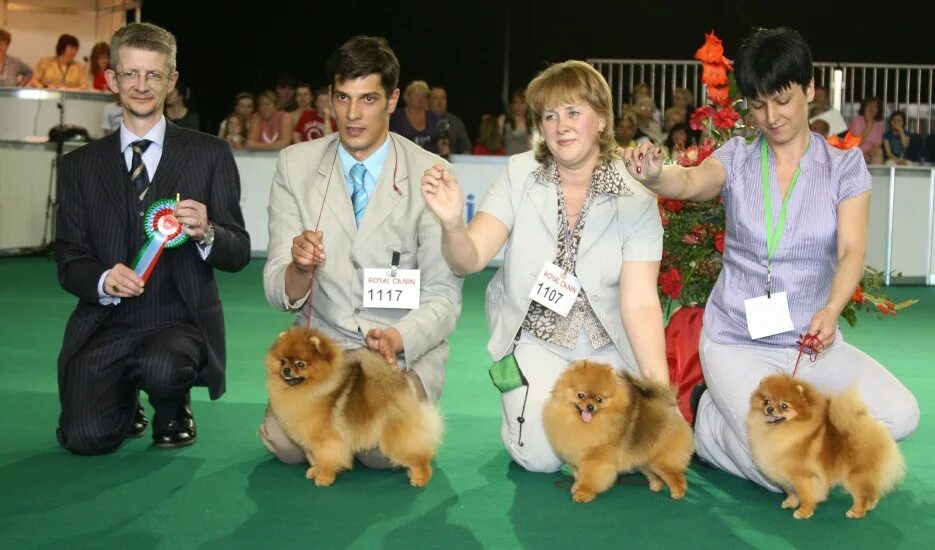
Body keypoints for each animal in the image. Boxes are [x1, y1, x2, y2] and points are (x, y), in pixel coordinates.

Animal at [262, 328, 440, 488]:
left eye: (301, 364)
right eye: (283, 361)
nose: (286, 370)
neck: (313, 389)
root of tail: (398, 378)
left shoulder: (327, 439)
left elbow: (326, 459)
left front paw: (324, 477)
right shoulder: (312, 441)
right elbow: (315, 458)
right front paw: (315, 471)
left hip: (396, 432)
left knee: (418, 454)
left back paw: (420, 478)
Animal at [540, 362, 696, 504]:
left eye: (599, 399)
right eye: (581, 395)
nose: (590, 407)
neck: (579, 423)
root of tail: (669, 411)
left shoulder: (594, 460)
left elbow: (589, 479)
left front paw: (583, 494)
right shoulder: (576, 458)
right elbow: (578, 476)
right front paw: (576, 487)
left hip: (662, 460)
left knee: (676, 475)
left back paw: (678, 493)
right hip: (646, 460)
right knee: (656, 474)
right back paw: (656, 486)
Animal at [744, 376, 908, 520]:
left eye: (784, 406)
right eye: (766, 401)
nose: (770, 409)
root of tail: (866, 424)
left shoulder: (804, 476)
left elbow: (805, 495)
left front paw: (803, 512)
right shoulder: (787, 476)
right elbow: (792, 492)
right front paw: (790, 503)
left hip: (856, 475)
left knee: (862, 494)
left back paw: (856, 512)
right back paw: (869, 506)